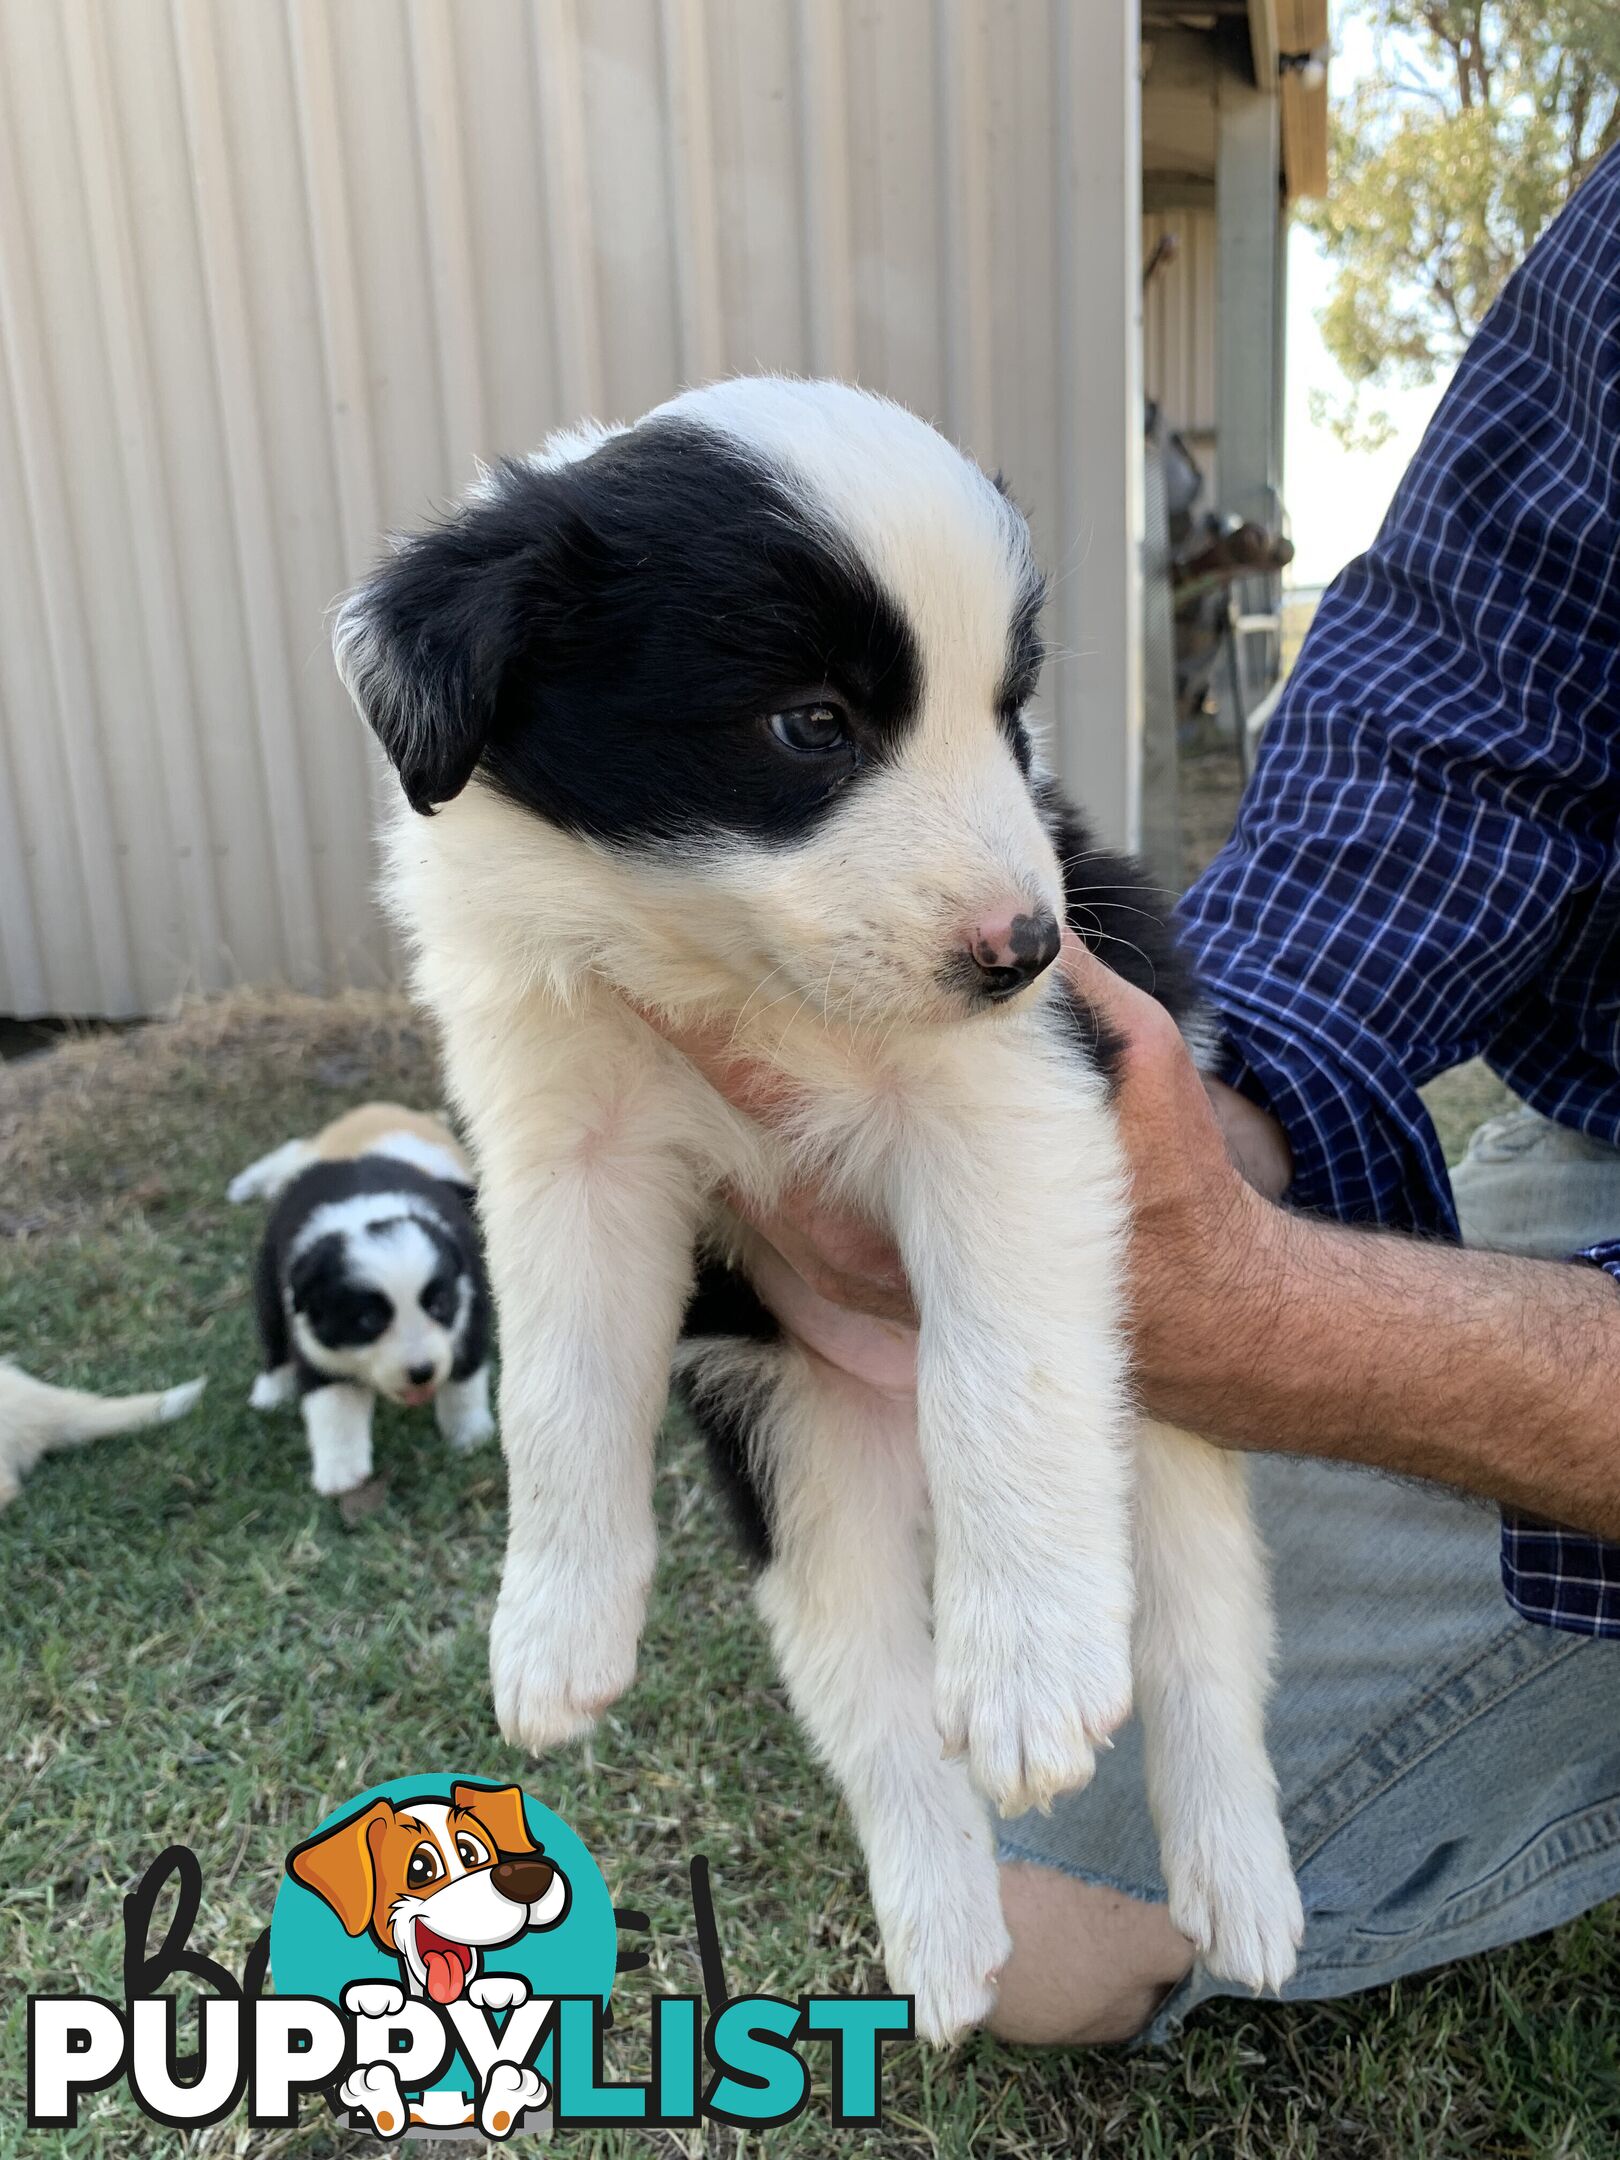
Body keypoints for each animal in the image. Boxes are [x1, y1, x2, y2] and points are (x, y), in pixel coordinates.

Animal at [230, 1105, 494, 1494]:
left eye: (438, 1306)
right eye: (369, 1320)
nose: (421, 1373)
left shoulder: (469, 1314)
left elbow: (464, 1382)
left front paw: (469, 1436)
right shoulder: (316, 1345)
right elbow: (334, 1408)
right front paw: (341, 1475)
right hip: (269, 1281)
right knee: (273, 1336)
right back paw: (271, 1392)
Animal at [332, 375, 1304, 2039]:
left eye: (1009, 716)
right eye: (812, 724)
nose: (1025, 948)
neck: (717, 965)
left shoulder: (1022, 1098)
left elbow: (999, 1372)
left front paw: (1031, 1667)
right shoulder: (564, 1146)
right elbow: (557, 1392)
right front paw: (552, 1628)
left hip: (1168, 1435)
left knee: (1197, 1643)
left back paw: (1236, 1884)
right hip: (800, 1462)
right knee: (880, 1713)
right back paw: (949, 1938)